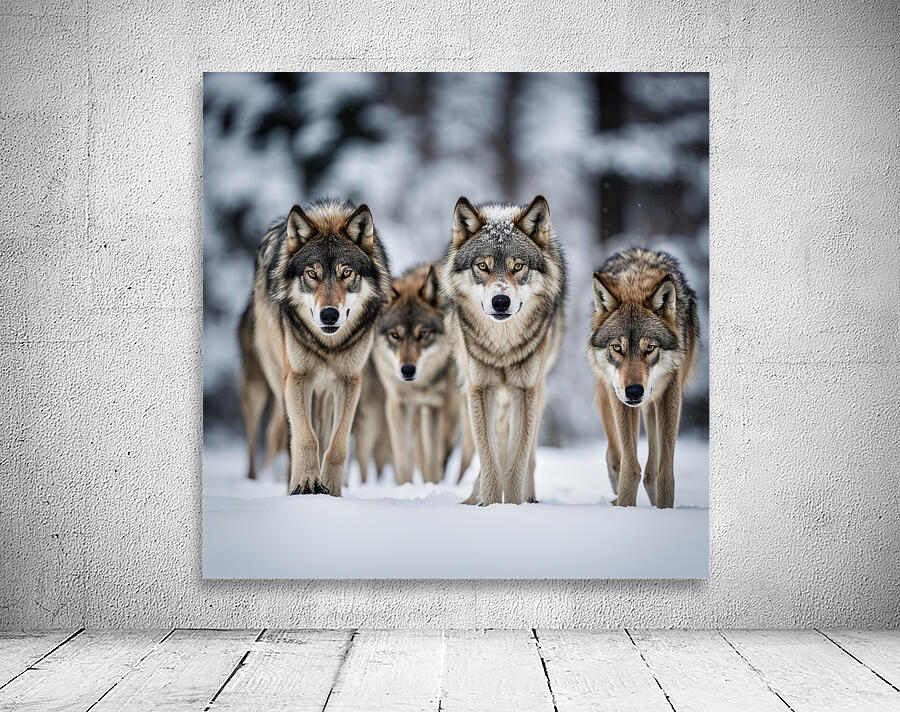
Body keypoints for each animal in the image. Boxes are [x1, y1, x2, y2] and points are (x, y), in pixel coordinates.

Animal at [238, 197, 391, 496]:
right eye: (312, 273)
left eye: (346, 273)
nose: (329, 315)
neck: (327, 345)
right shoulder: (297, 378)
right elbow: (306, 438)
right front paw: (308, 483)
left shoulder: (349, 381)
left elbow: (337, 446)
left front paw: (331, 491)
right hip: (269, 386)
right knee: (281, 435)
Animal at [372, 263, 463, 485]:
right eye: (395, 335)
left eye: (423, 334)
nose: (407, 370)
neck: (418, 386)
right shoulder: (398, 404)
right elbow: (403, 460)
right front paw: (405, 488)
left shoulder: (434, 405)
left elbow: (432, 460)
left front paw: (432, 486)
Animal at [440, 196, 566, 505]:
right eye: (483, 266)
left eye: (518, 266)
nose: (500, 301)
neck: (502, 347)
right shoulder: (480, 389)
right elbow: (489, 458)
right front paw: (491, 505)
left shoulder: (525, 390)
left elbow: (517, 460)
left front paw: (512, 506)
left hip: (536, 392)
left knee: (528, 455)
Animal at [587, 248, 699, 509]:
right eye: (617, 347)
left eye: (649, 348)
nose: (634, 391)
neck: (635, 281)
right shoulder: (618, 396)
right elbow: (630, 467)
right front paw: (625, 506)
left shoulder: (671, 393)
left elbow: (663, 471)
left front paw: (664, 508)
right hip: (608, 398)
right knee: (614, 453)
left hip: (653, 405)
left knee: (651, 469)